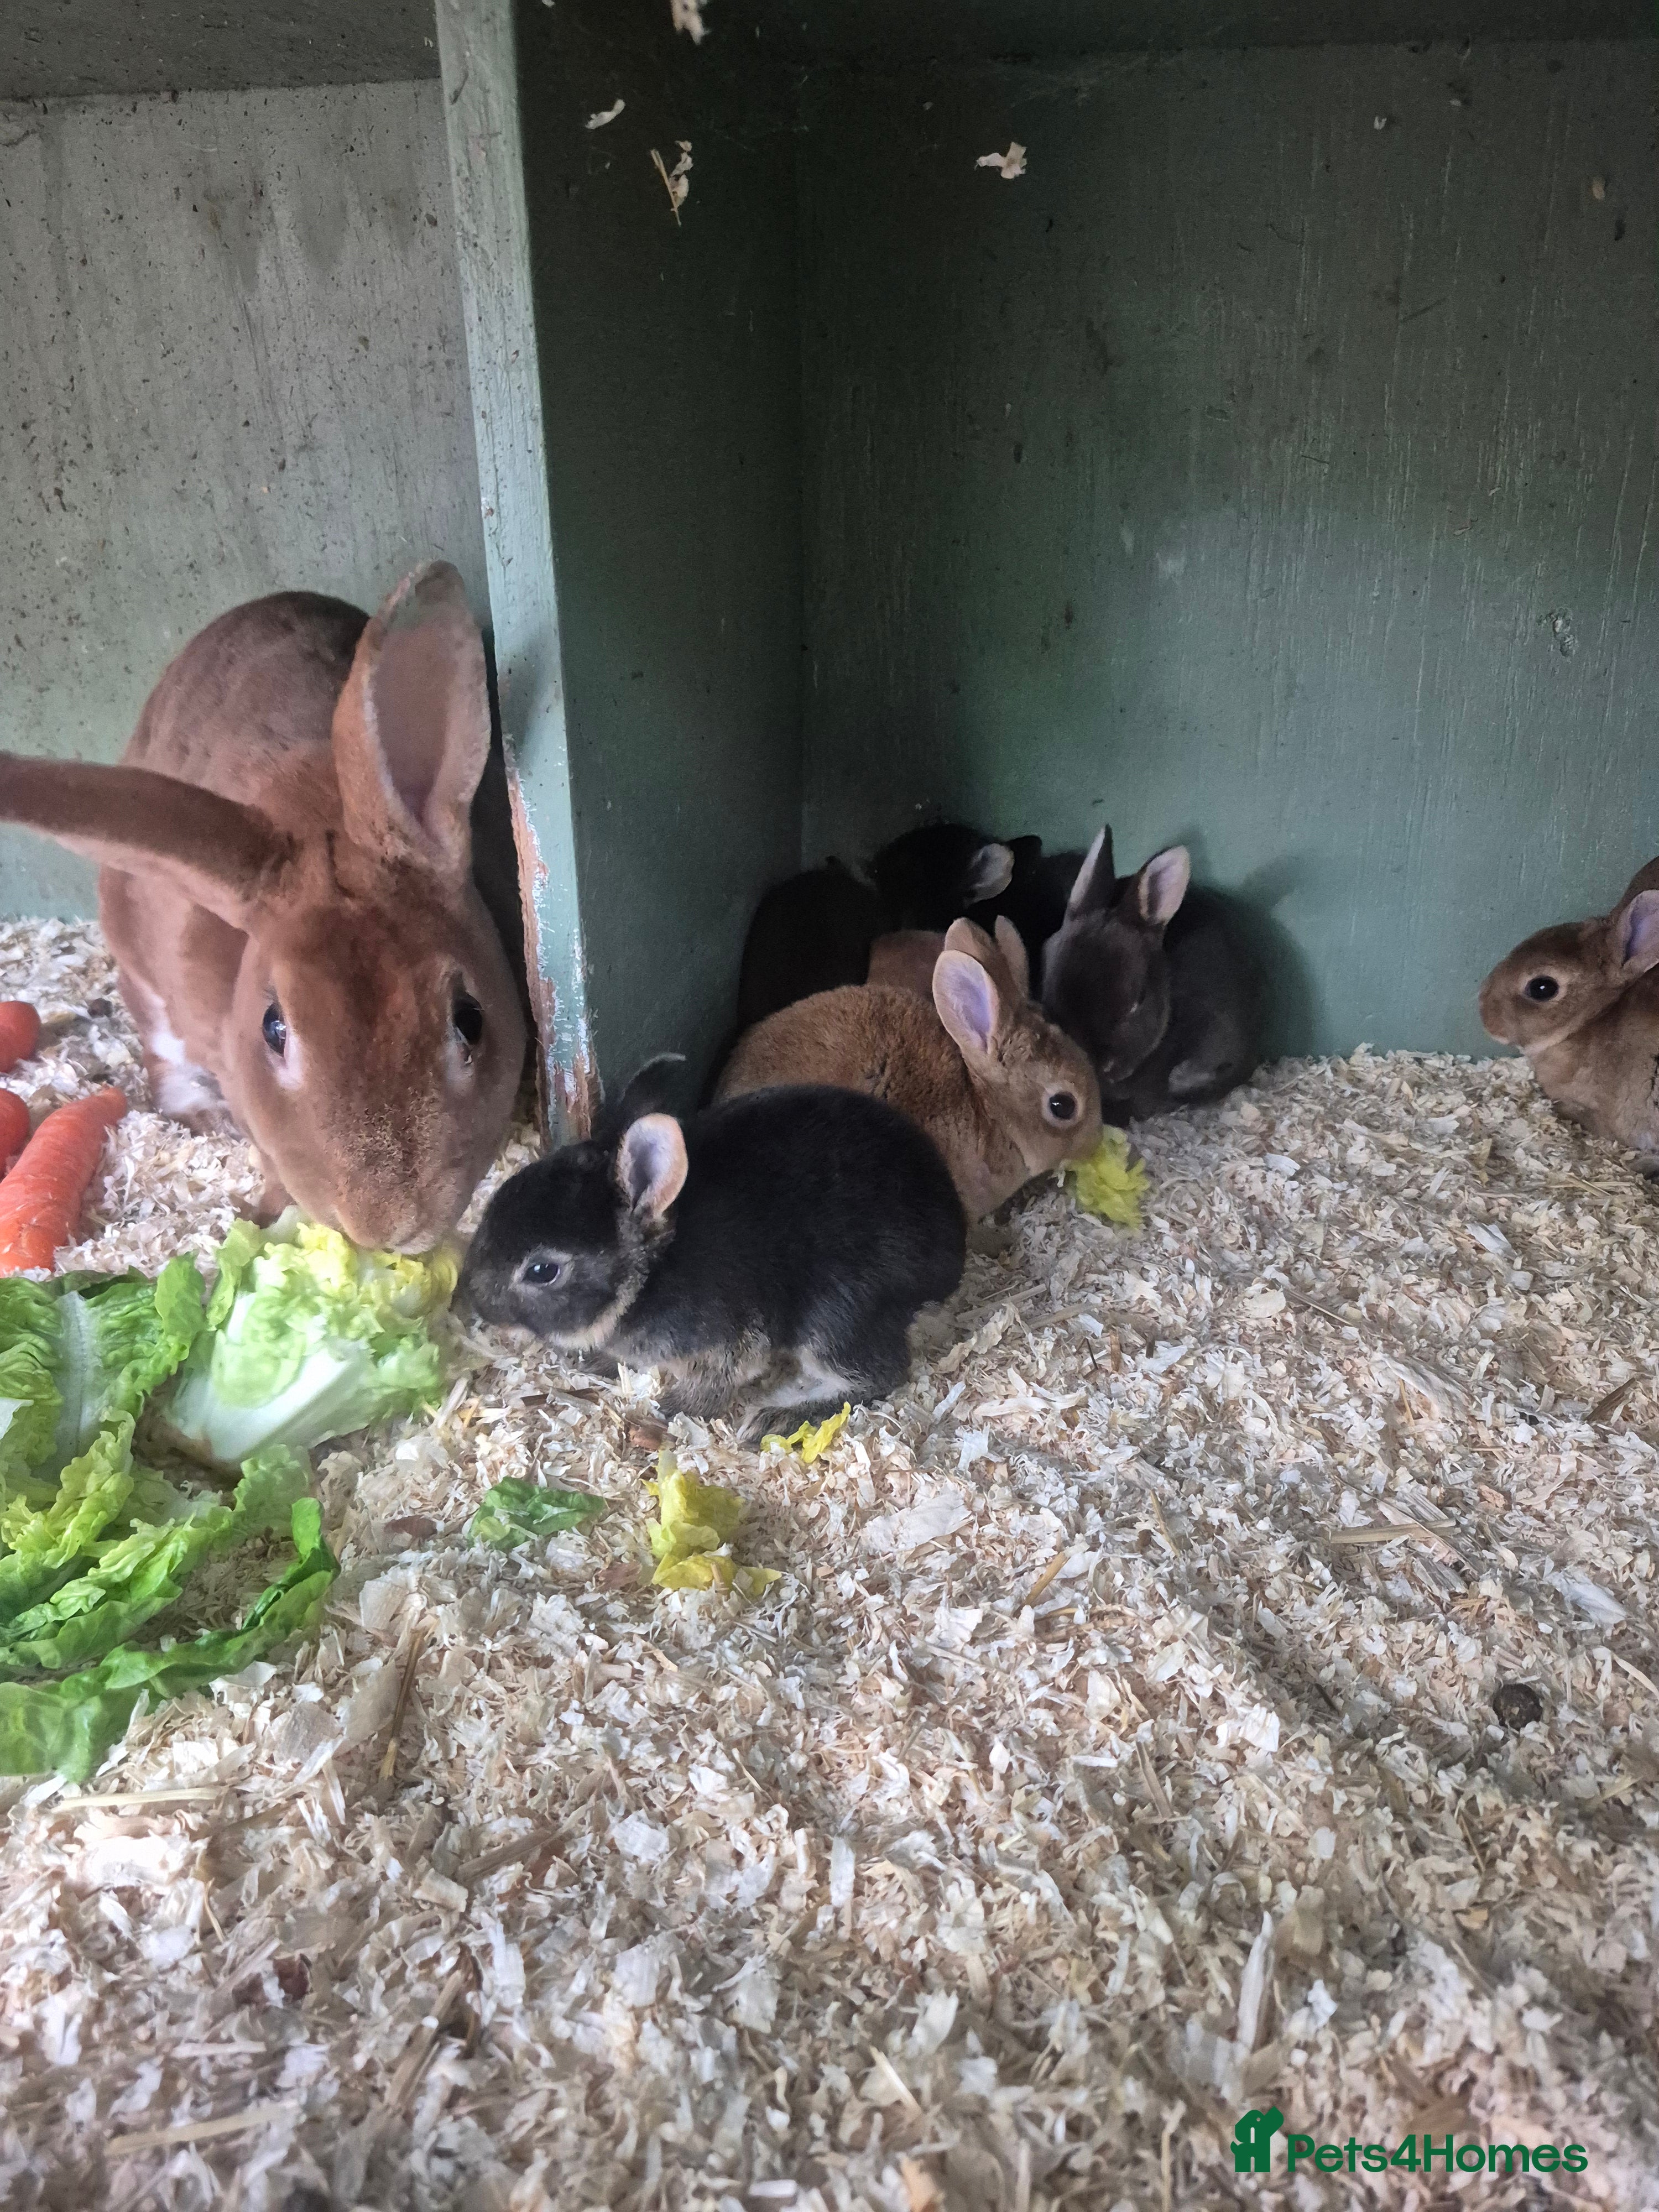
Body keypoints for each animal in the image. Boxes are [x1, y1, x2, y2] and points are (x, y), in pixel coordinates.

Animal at [458, 1060, 966, 1426]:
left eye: (542, 1271)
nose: (474, 1300)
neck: (650, 1272)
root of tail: (952, 1256)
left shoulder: (726, 1341)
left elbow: (712, 1388)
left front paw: (666, 1412)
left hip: (836, 1317)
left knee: (880, 1373)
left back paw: (777, 1417)